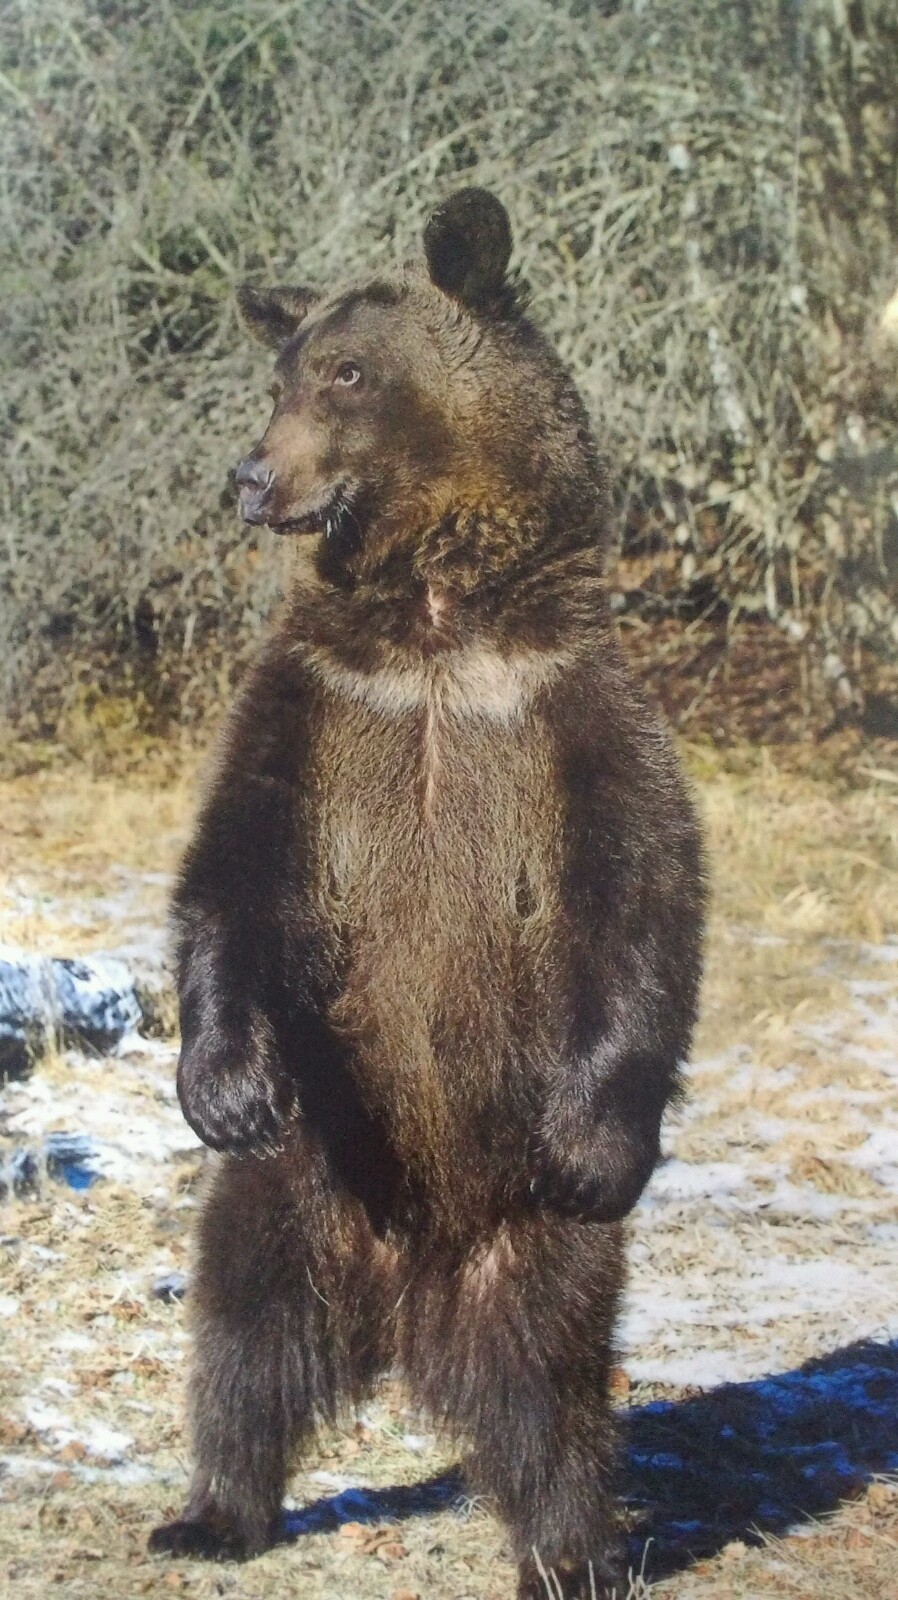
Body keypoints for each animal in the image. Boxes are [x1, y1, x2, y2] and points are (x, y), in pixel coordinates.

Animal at [148, 188, 705, 1600]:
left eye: (346, 373)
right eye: (283, 373)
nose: (252, 477)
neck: (439, 617)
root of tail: (407, 1298)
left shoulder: (564, 702)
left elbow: (641, 894)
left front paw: (603, 1131)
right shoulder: (321, 703)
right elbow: (232, 870)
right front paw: (219, 1081)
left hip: (535, 1228)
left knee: (553, 1384)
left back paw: (569, 1546)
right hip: (303, 1175)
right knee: (245, 1331)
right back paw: (212, 1508)